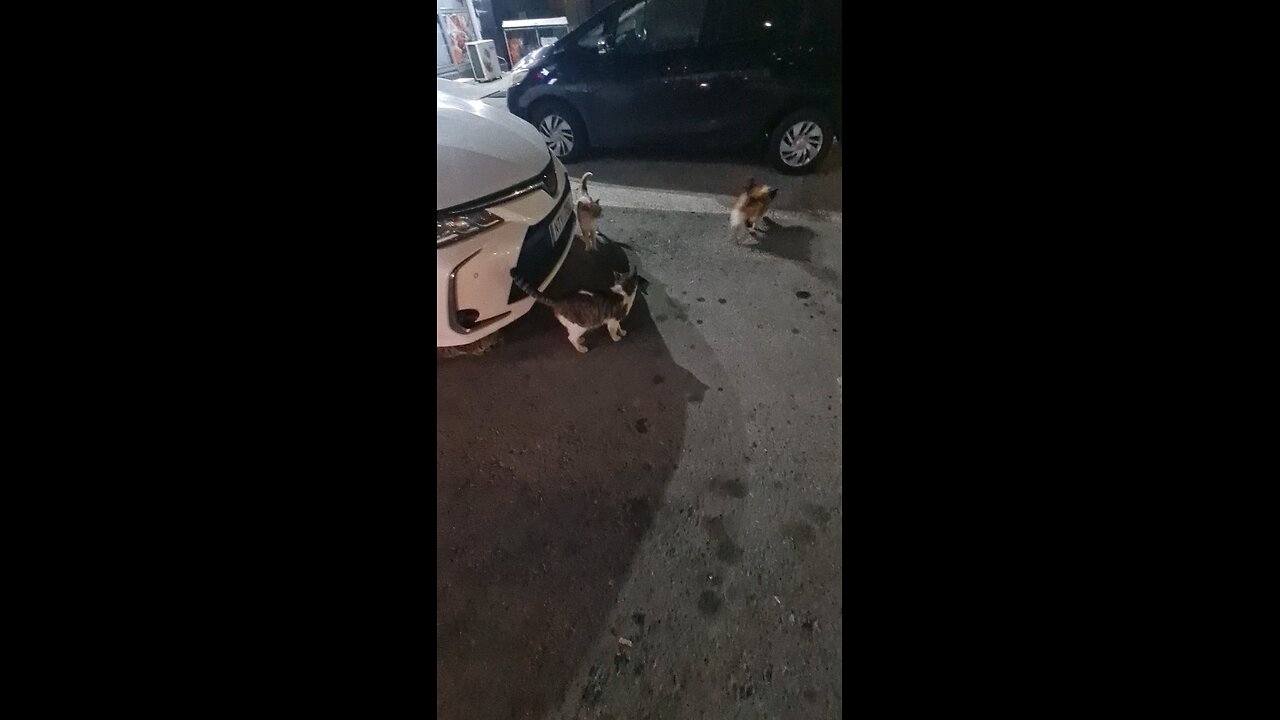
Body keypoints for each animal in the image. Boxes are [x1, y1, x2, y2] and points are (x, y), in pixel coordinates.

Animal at [509, 265, 640, 351]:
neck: (622, 290)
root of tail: (559, 300)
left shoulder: (616, 320)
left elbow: (619, 326)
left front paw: (622, 332)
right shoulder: (613, 320)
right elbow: (613, 330)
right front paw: (617, 338)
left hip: (573, 325)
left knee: (571, 334)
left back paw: (580, 340)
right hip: (581, 325)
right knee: (570, 337)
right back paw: (581, 349)